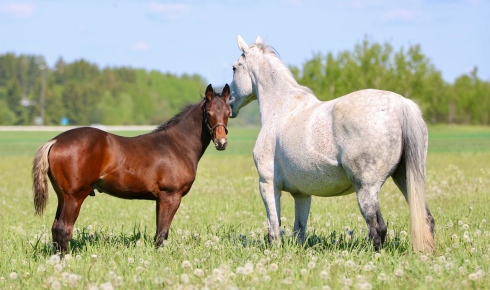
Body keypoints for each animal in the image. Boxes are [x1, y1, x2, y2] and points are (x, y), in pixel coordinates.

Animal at [32, 84, 232, 254]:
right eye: (209, 112)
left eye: (228, 113)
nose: (221, 143)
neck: (177, 145)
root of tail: (55, 141)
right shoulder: (171, 196)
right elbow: (162, 234)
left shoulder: (161, 199)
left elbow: (159, 232)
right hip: (74, 196)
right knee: (63, 229)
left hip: (62, 197)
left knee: (56, 229)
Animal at [228, 34, 434, 251]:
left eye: (234, 68)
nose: (229, 104)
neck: (282, 107)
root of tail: (401, 105)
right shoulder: (302, 194)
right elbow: (299, 228)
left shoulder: (267, 184)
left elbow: (274, 226)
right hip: (405, 178)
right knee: (427, 218)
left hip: (366, 189)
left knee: (377, 227)